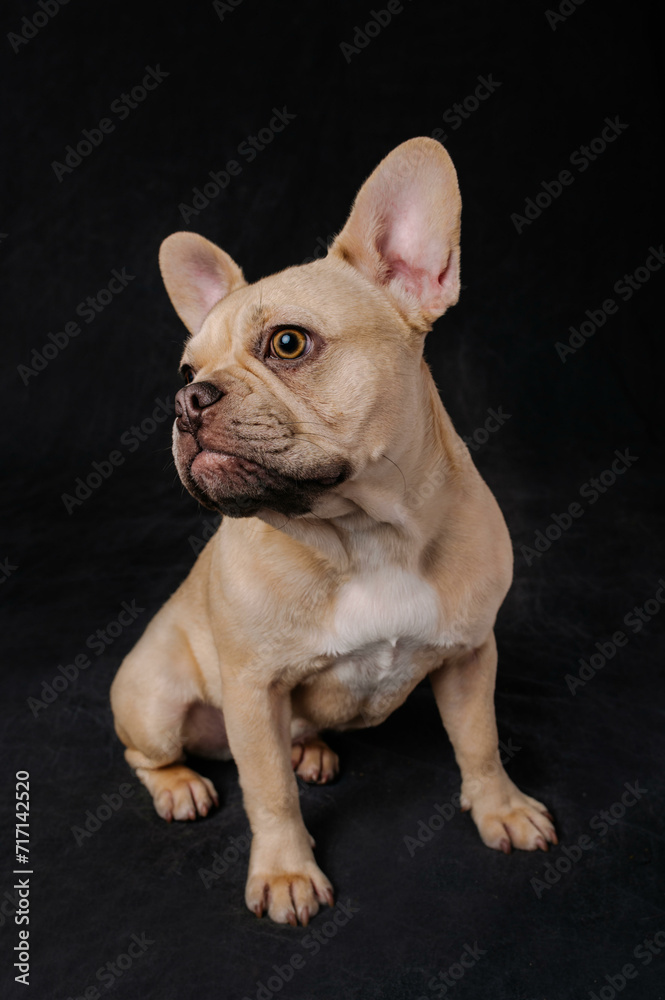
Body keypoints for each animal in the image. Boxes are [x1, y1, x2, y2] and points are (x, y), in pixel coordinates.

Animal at [110, 137, 556, 924]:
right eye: (186, 370)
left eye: (288, 343)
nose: (187, 400)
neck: (363, 534)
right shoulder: (252, 691)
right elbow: (268, 794)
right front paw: (286, 871)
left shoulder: (472, 655)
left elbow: (480, 741)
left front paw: (498, 808)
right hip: (154, 699)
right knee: (151, 753)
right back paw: (182, 785)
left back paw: (310, 750)